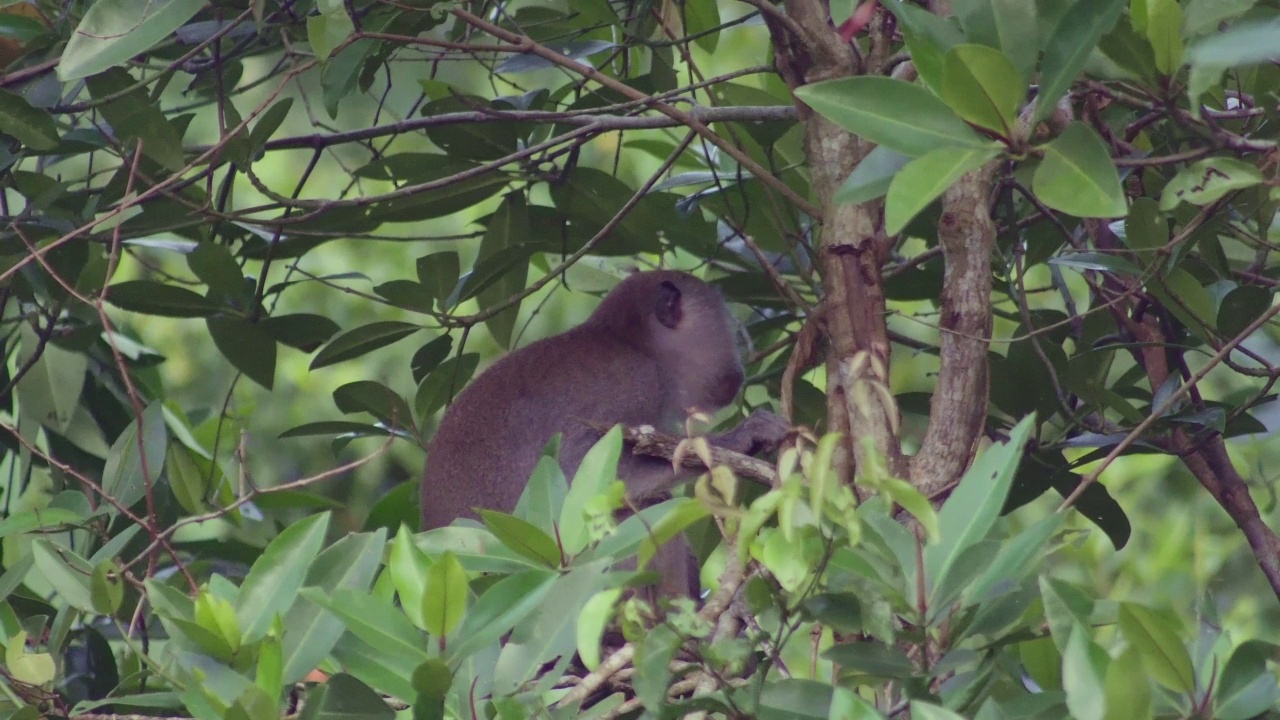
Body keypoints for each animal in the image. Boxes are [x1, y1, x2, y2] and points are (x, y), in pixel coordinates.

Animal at [419, 269, 783, 594]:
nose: (738, 371)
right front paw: (740, 439)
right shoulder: (637, 385)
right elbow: (578, 471)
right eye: (726, 330)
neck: (631, 343)